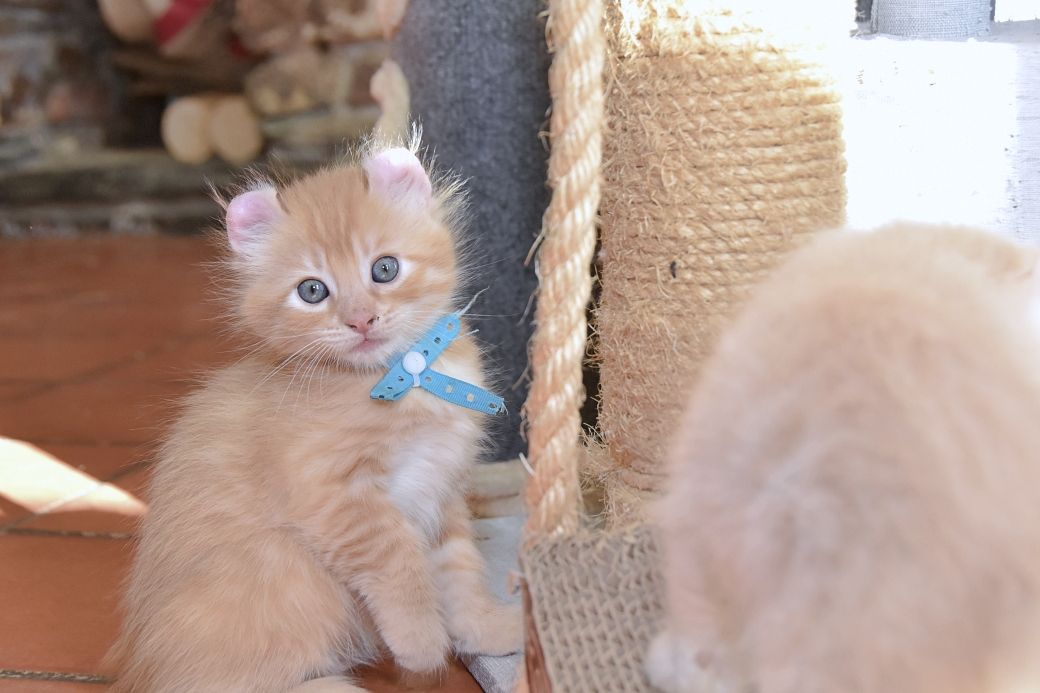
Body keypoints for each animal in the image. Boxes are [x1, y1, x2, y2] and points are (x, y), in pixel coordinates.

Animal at [107, 141, 521, 693]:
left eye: (384, 269)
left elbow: (460, 574)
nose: (361, 320)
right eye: (312, 291)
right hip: (288, 572)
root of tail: (143, 671)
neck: (408, 375)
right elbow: (403, 570)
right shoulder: (337, 500)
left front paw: (492, 632)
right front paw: (423, 647)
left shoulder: (443, 490)